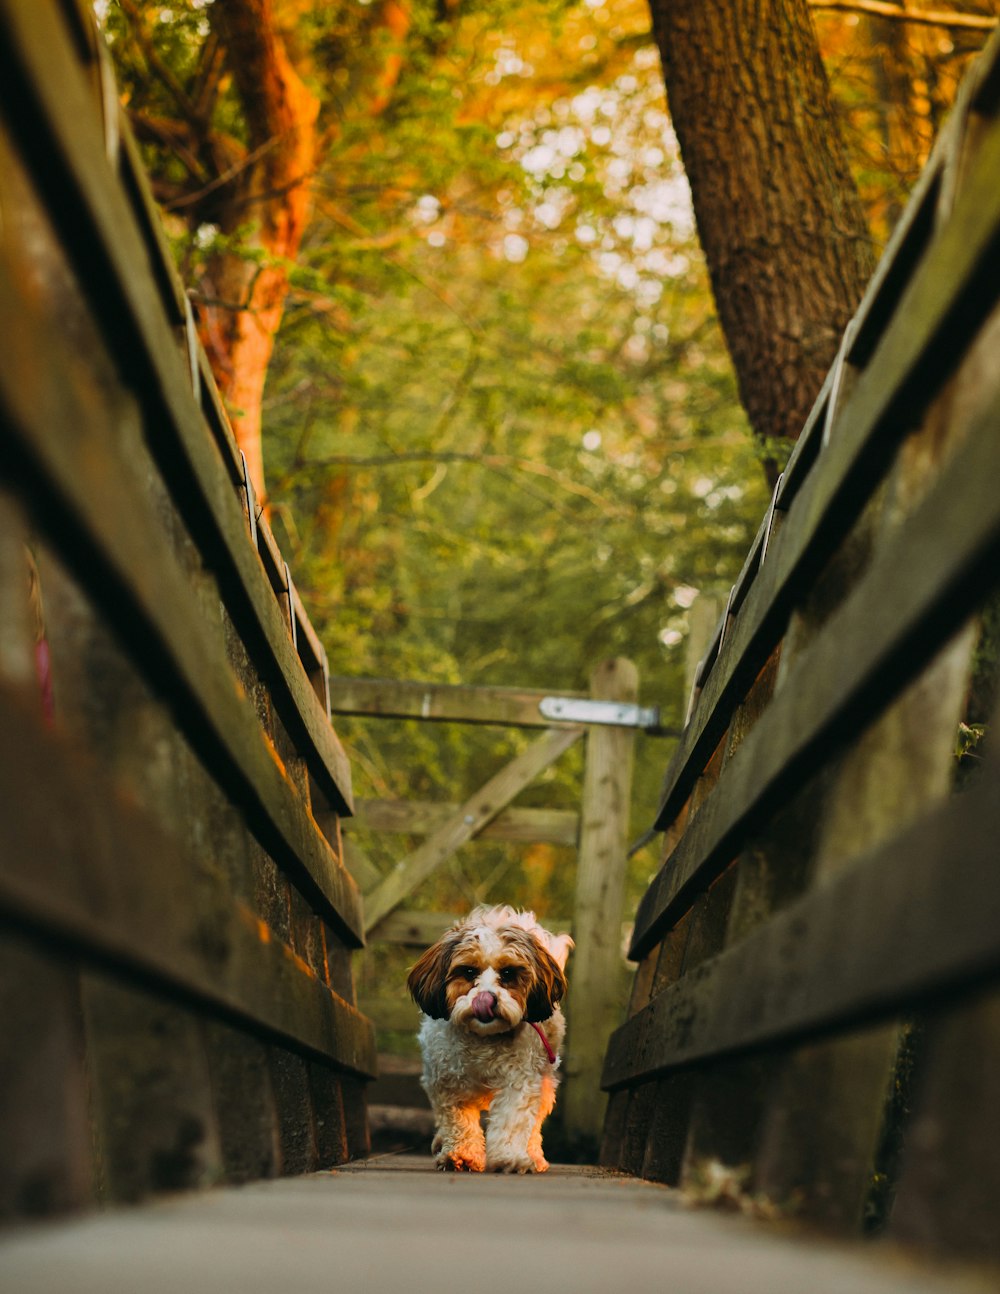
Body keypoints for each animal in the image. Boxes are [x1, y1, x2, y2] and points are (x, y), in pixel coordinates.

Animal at [403, 910, 569, 1174]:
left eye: (509, 973)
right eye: (469, 972)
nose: (486, 998)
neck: (482, 1039)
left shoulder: (519, 1080)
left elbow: (512, 1120)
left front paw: (508, 1157)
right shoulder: (447, 1085)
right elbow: (458, 1123)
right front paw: (461, 1155)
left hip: (545, 1083)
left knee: (534, 1127)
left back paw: (533, 1156)